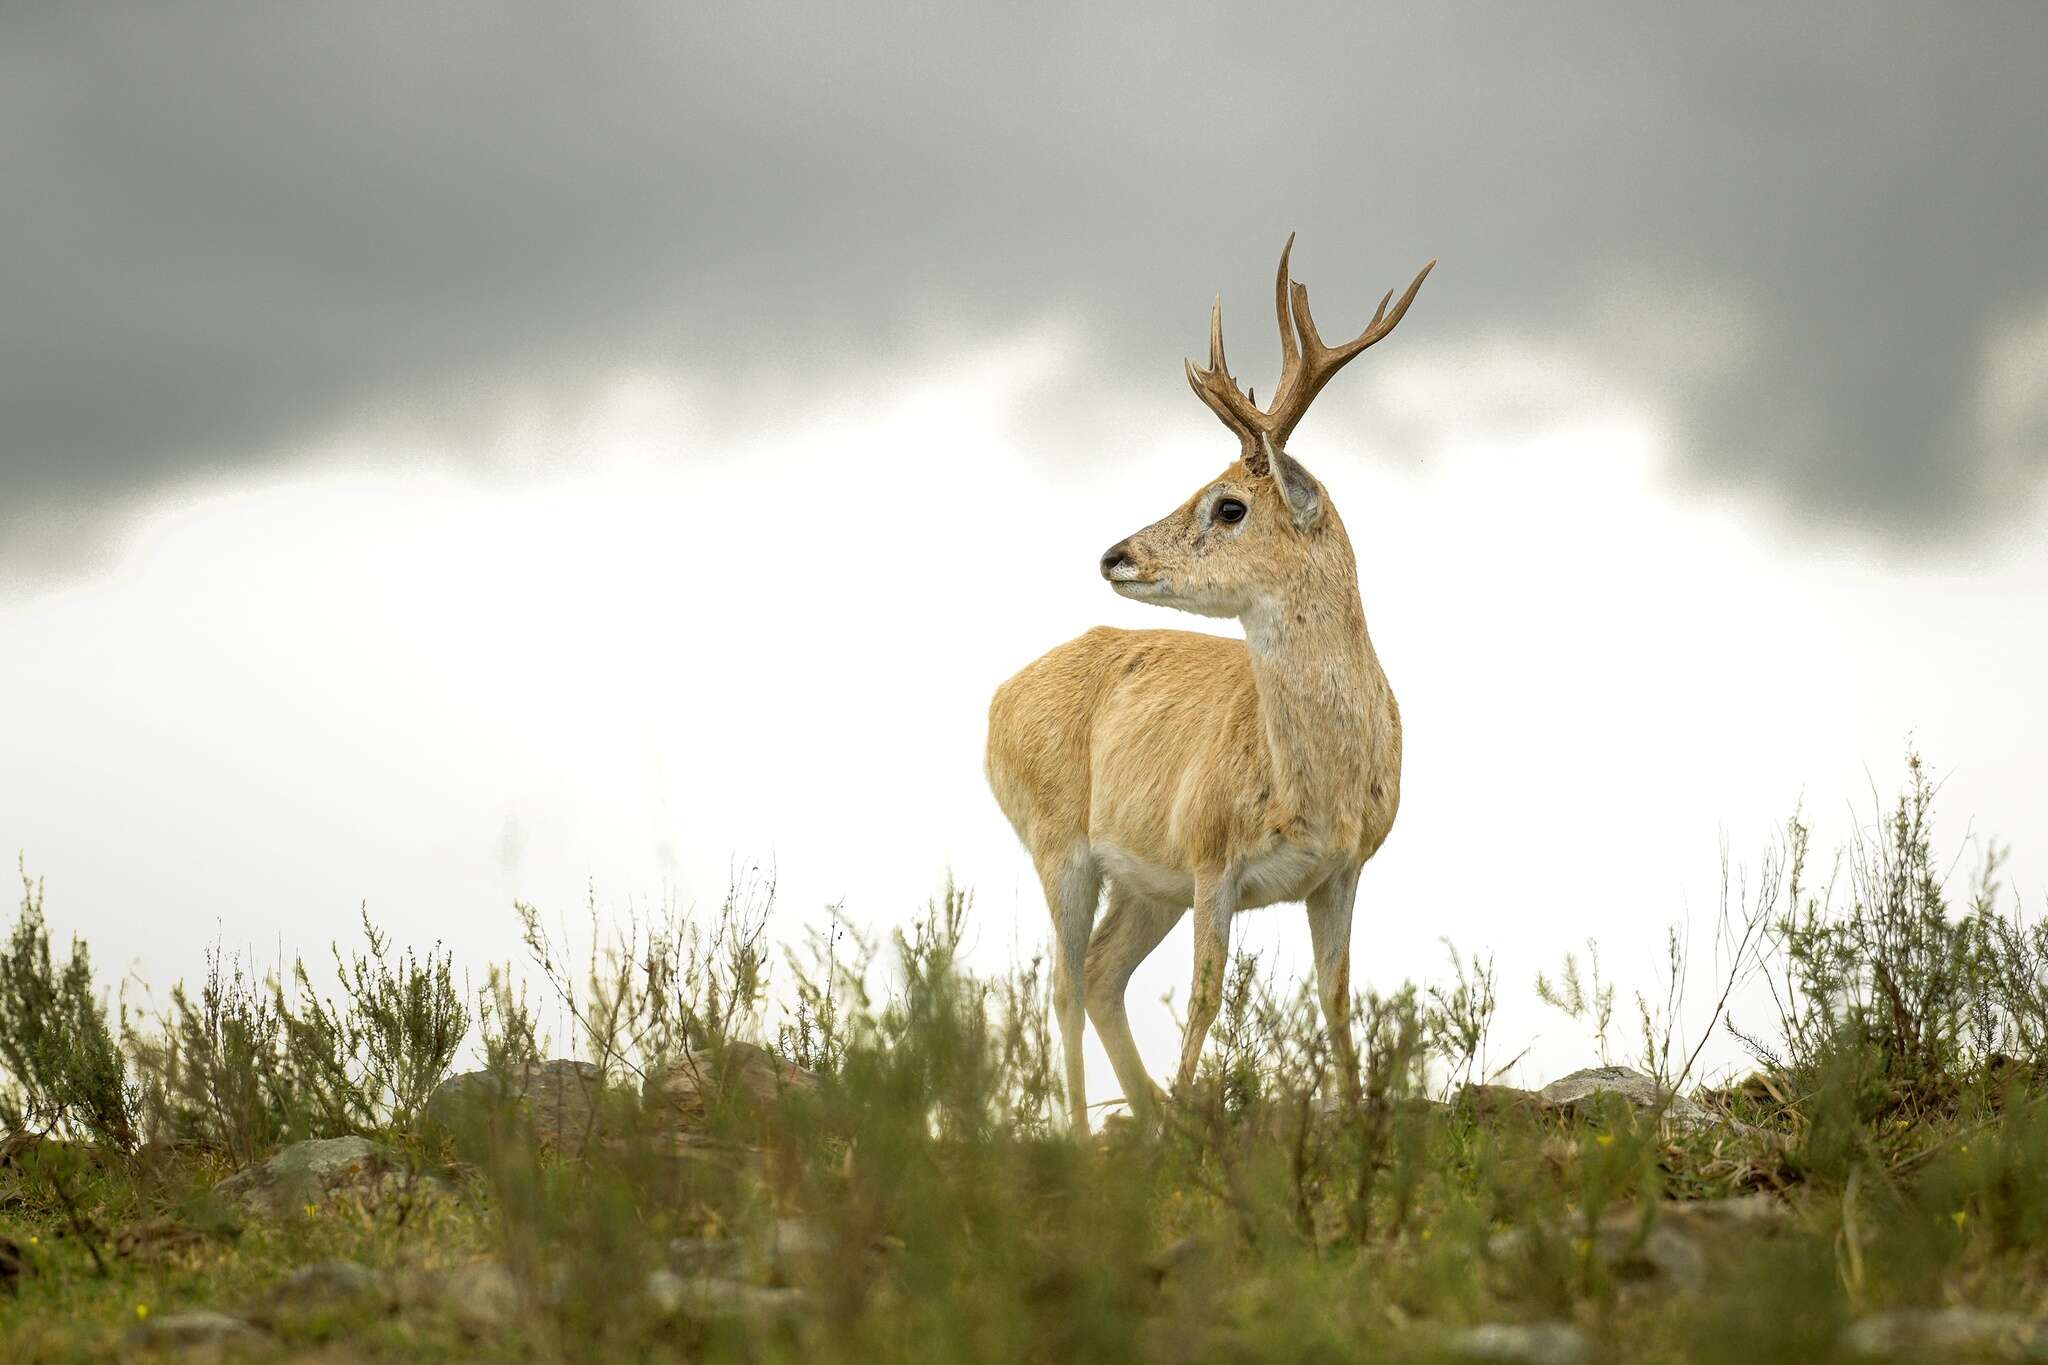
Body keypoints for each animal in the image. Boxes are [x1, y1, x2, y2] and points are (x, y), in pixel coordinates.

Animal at [983, 235, 1433, 1129]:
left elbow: (1336, 1001)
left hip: (1144, 885)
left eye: (1229, 506)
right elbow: (1206, 994)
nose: (1114, 554)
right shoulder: (1209, 855)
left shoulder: (1343, 868)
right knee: (1064, 984)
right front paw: (1198, 1112)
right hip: (1058, 842)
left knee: (1100, 975)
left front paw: (1354, 1116)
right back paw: (1086, 1130)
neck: (1315, 780)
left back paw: (1145, 1116)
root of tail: (996, 702)